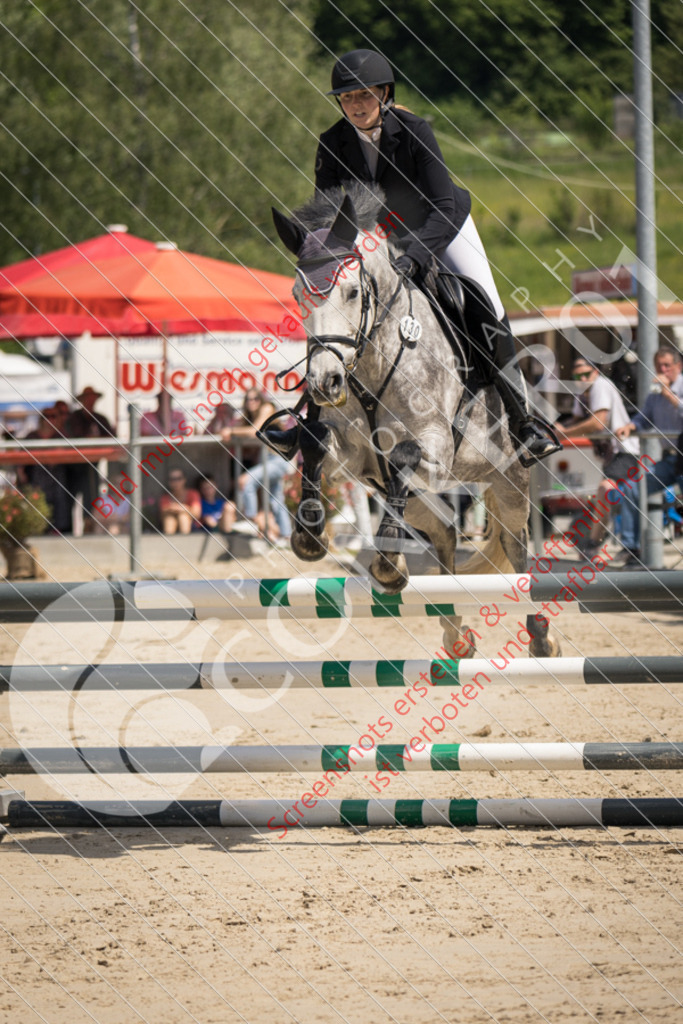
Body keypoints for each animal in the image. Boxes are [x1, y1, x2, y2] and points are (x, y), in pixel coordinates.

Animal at [270, 191, 557, 655]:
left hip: (510, 481)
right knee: (445, 534)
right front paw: (310, 537)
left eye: (352, 292)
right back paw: (453, 630)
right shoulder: (355, 459)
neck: (372, 360)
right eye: (298, 296)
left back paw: (541, 638)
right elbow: (314, 443)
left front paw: (384, 563)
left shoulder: (435, 446)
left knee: (515, 547)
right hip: (420, 498)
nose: (324, 383)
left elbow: (404, 451)